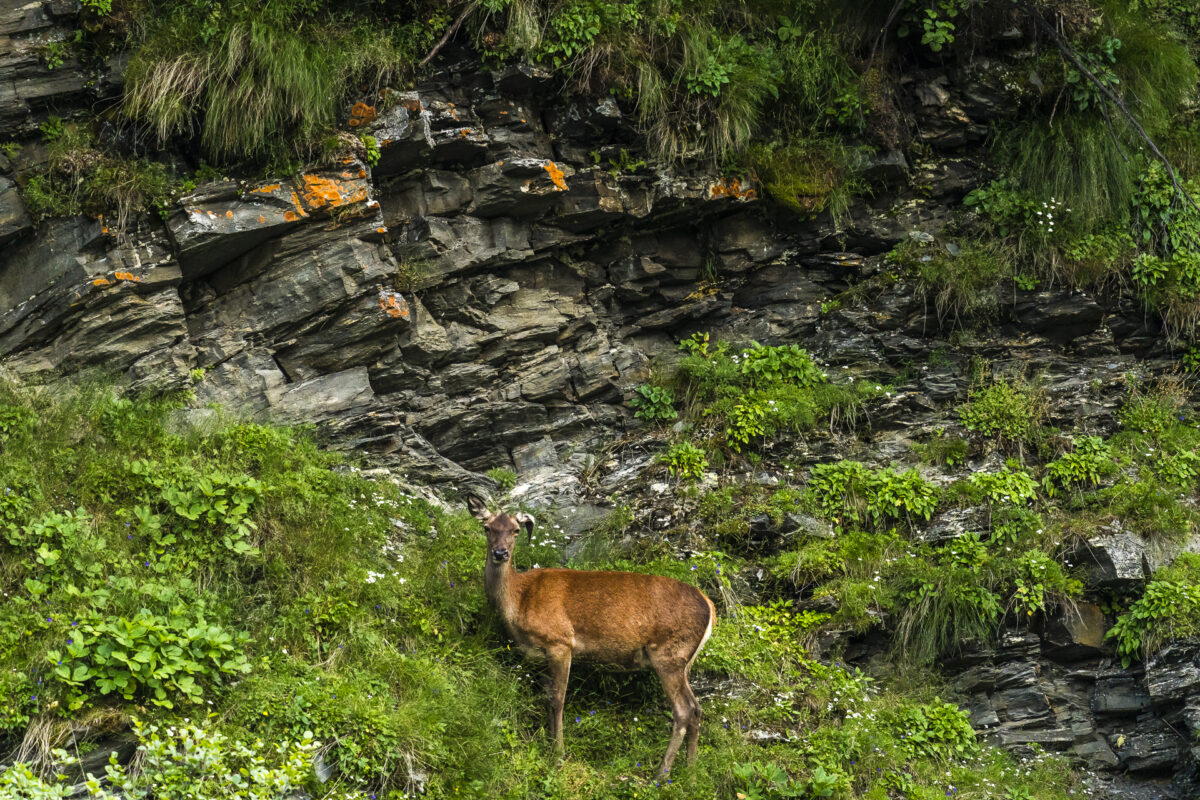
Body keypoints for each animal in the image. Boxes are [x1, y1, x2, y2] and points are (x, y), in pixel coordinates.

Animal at [465, 494, 710, 777]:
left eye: (515, 530)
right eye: (487, 528)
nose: (500, 553)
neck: (518, 599)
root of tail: (710, 606)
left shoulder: (560, 641)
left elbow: (557, 699)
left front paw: (558, 755)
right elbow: (547, 697)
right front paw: (550, 745)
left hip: (669, 653)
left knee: (683, 710)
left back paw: (662, 773)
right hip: (685, 661)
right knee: (697, 709)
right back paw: (690, 771)